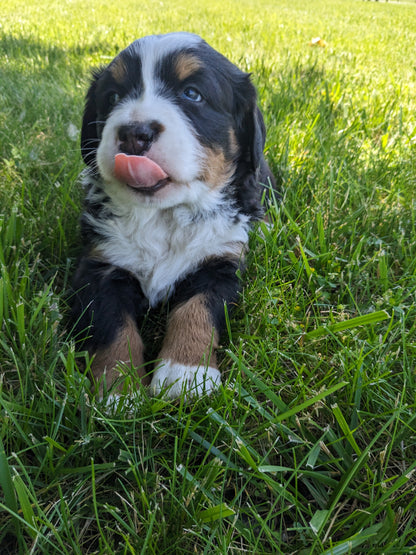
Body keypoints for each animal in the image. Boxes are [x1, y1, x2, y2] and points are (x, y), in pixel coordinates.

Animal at [70, 32, 274, 402]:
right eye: (113, 97)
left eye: (192, 94)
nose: (134, 132)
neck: (163, 216)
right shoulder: (100, 266)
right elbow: (113, 326)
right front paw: (118, 390)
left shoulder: (219, 263)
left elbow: (197, 310)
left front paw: (186, 374)